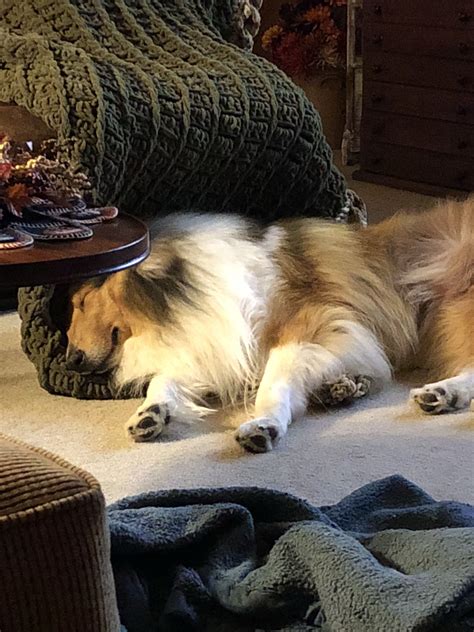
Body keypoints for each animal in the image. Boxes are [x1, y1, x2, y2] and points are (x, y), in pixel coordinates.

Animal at [67, 200, 474, 452]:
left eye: (81, 302)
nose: (72, 360)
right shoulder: (212, 345)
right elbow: (163, 380)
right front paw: (151, 413)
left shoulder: (306, 326)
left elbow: (273, 384)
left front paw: (263, 424)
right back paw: (348, 387)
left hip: (459, 309)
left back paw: (441, 392)